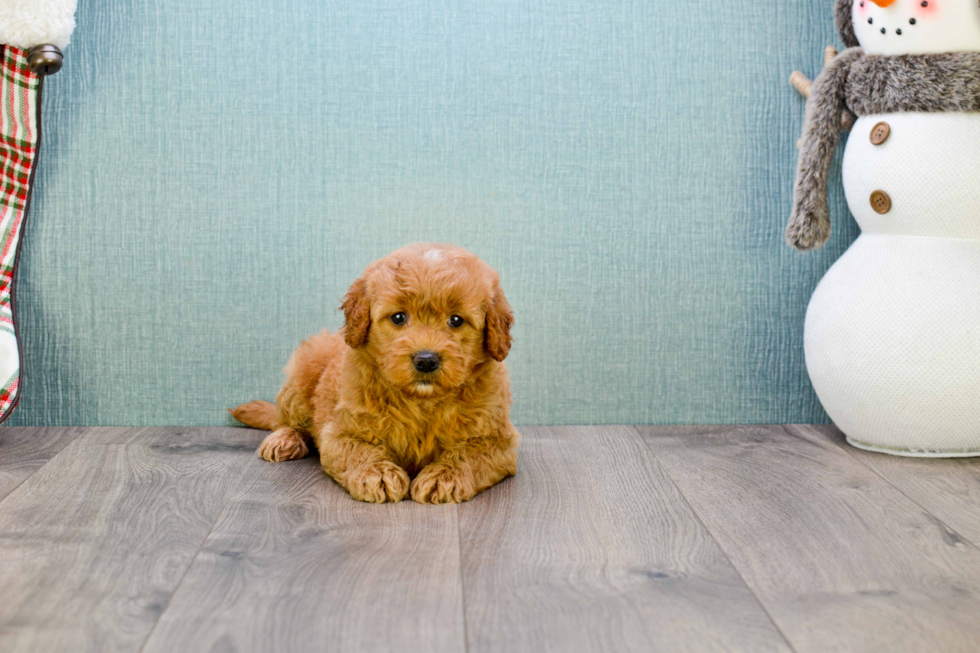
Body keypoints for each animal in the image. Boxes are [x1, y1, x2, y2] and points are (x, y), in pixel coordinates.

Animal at [231, 242, 520, 502]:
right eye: (399, 317)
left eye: (456, 320)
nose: (426, 360)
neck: (422, 401)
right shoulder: (340, 431)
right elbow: (358, 450)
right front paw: (377, 474)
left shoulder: (498, 440)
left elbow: (469, 453)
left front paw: (444, 476)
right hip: (301, 376)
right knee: (286, 420)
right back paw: (284, 439)